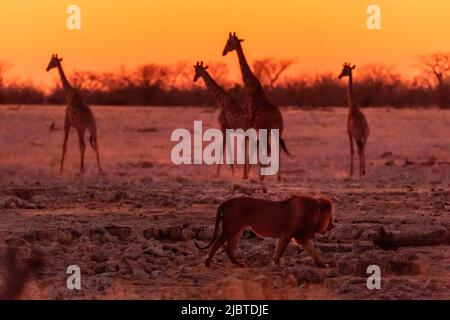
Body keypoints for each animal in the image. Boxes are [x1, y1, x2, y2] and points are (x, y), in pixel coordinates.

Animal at [195, 195, 336, 268]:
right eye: (330, 217)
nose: (332, 226)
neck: (313, 211)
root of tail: (227, 201)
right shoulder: (287, 234)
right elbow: (280, 250)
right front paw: (277, 265)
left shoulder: (301, 237)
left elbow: (313, 251)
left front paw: (322, 265)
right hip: (231, 228)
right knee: (217, 243)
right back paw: (207, 262)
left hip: (238, 230)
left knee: (229, 249)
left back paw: (239, 264)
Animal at [223, 33, 290, 181]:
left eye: (229, 42)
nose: (223, 52)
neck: (249, 85)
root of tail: (278, 119)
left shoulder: (249, 122)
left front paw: (247, 175)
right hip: (276, 130)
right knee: (275, 149)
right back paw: (276, 177)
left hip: (265, 129)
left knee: (268, 149)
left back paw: (263, 176)